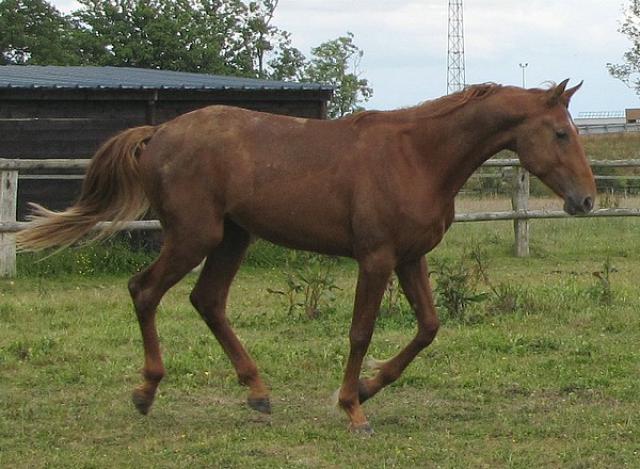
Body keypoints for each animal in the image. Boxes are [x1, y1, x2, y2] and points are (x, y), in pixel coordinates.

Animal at [16, 78, 596, 434]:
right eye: (560, 133)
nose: (586, 201)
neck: (417, 155)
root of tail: (158, 132)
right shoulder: (376, 258)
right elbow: (361, 331)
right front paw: (353, 409)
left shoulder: (410, 258)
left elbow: (428, 327)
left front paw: (368, 386)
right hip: (193, 237)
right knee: (145, 291)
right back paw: (146, 391)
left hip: (232, 238)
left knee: (208, 301)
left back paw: (257, 392)